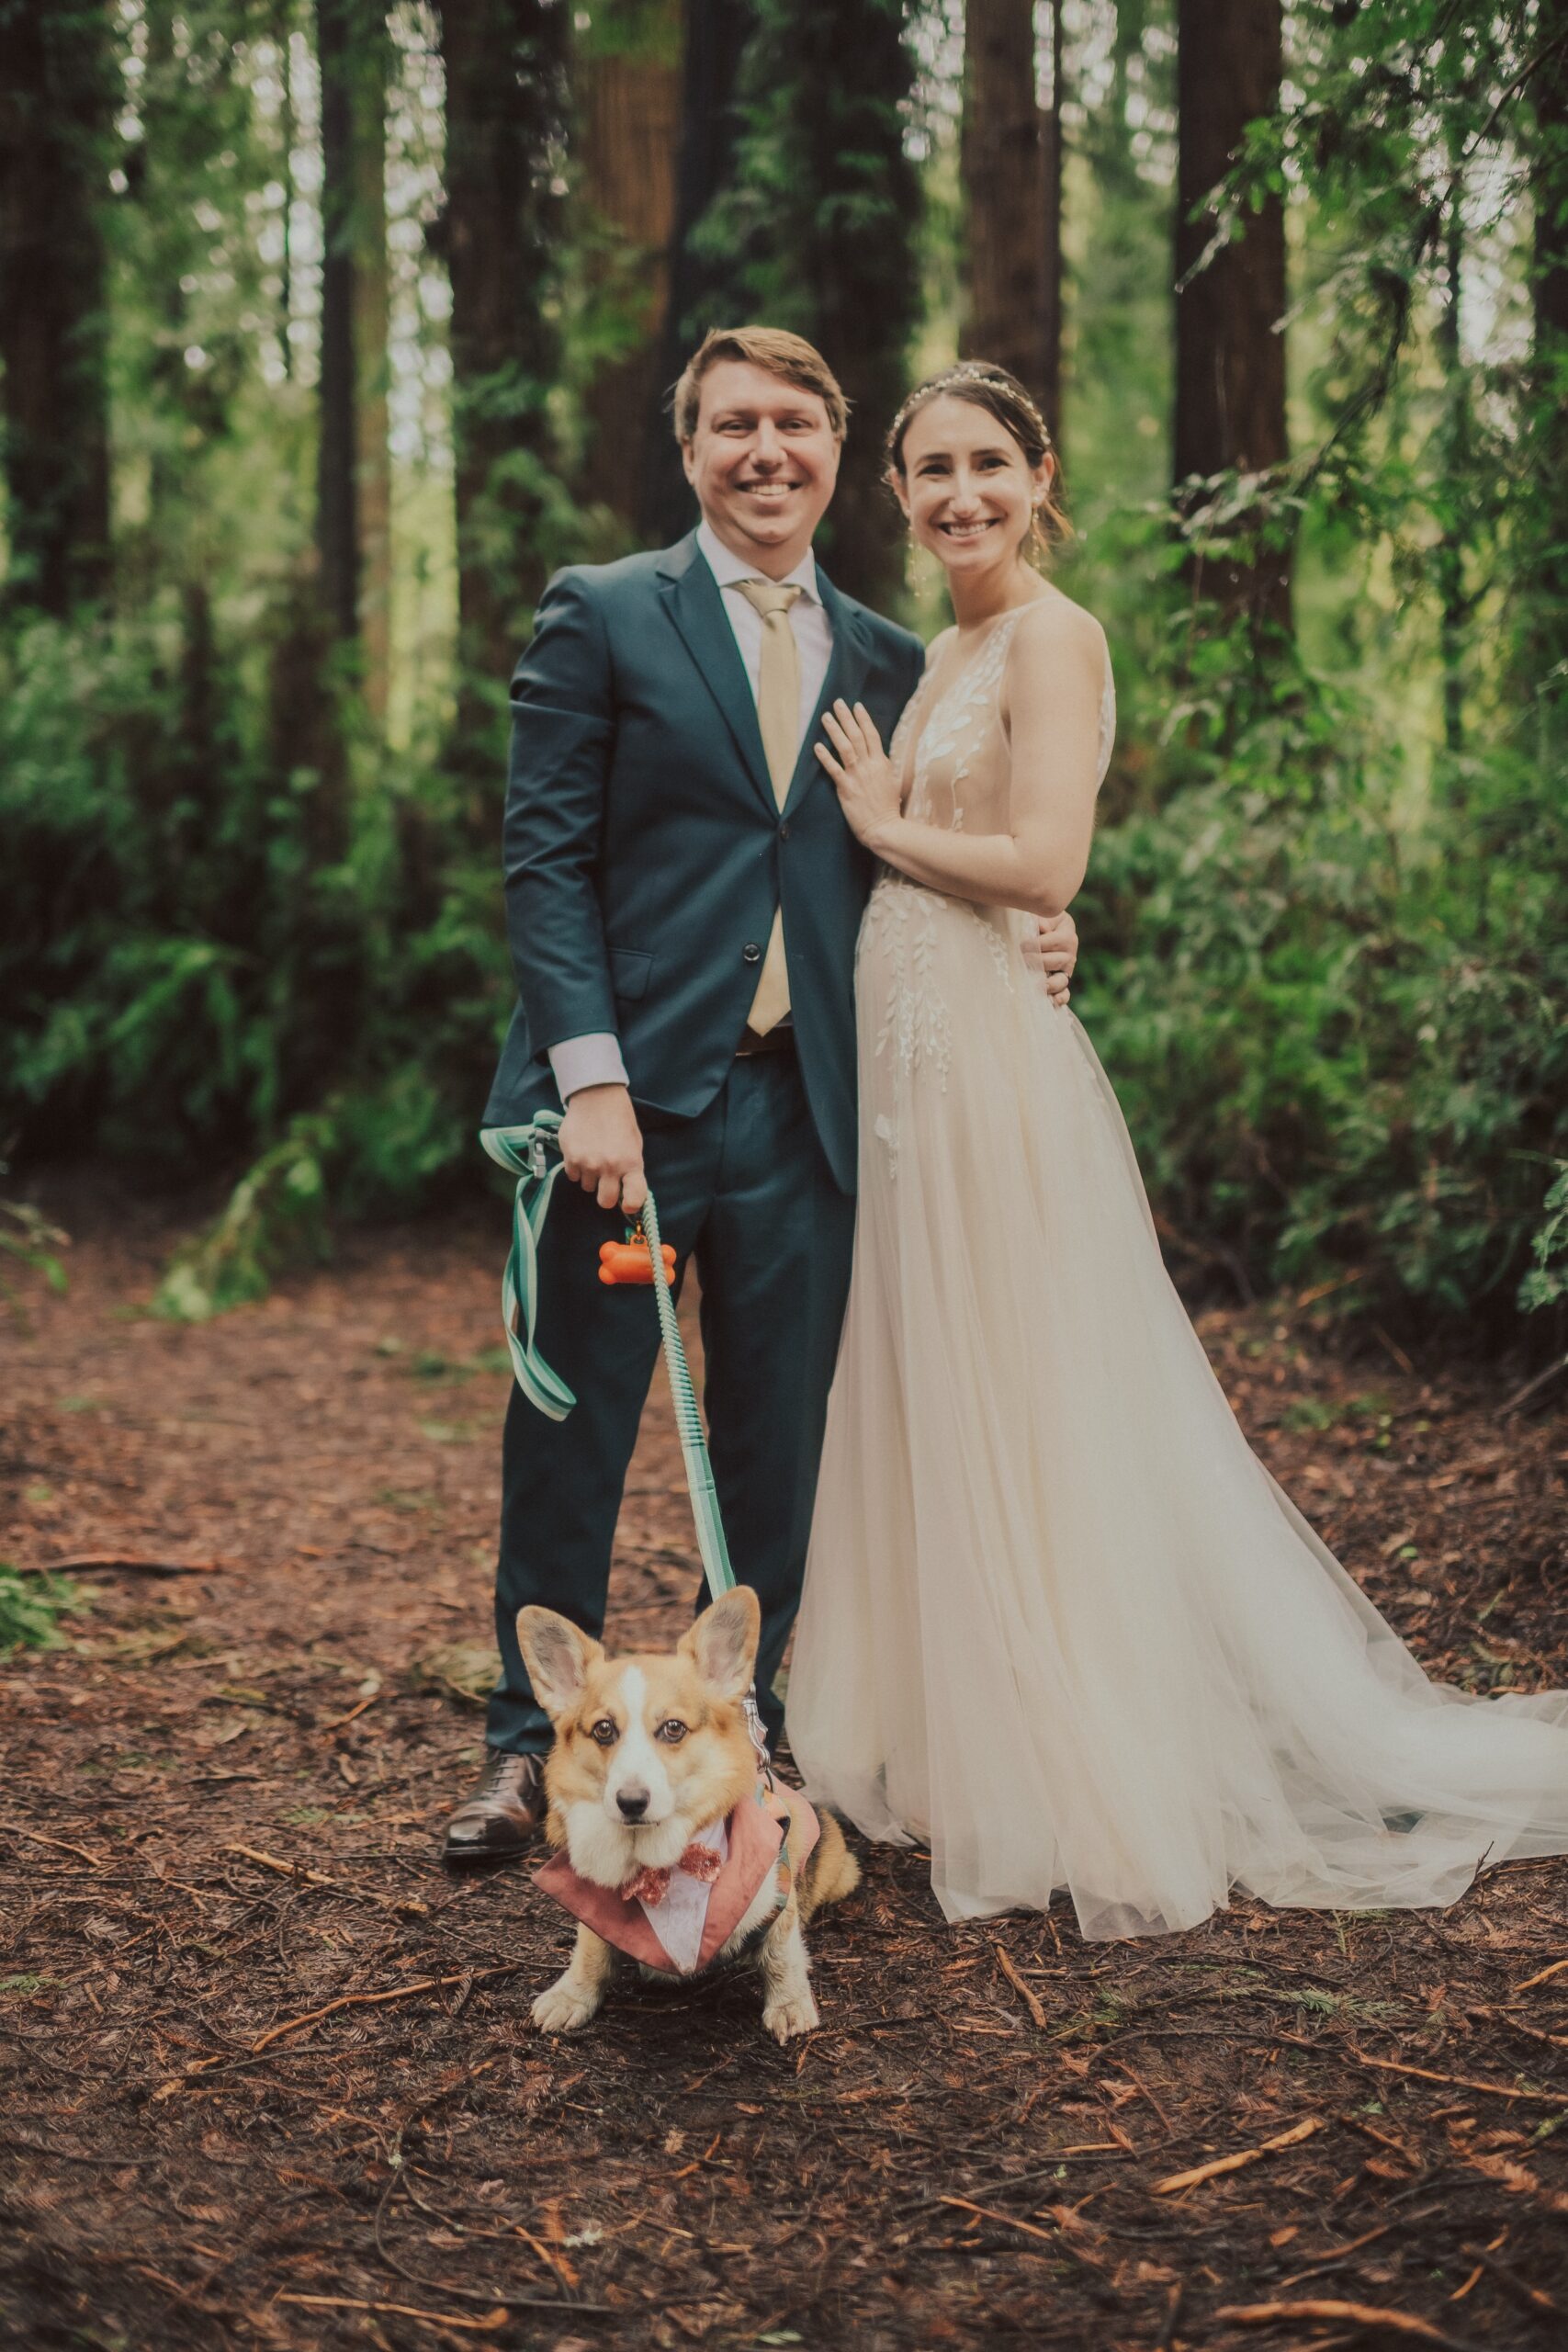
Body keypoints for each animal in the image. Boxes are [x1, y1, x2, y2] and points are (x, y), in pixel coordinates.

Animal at [514, 1589, 860, 2051]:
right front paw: (572, 1996)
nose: (631, 1802)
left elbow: (782, 1954)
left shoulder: (777, 1898)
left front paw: (789, 2005)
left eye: (673, 1728)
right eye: (604, 1729)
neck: (661, 1865)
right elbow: (590, 1949)